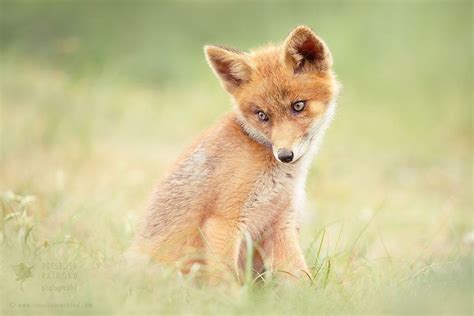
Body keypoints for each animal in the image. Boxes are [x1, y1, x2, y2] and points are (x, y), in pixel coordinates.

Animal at [131, 24, 338, 282]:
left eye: (298, 106)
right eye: (262, 115)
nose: (284, 155)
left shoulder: (281, 224)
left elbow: (299, 278)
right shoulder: (223, 223)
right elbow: (225, 280)